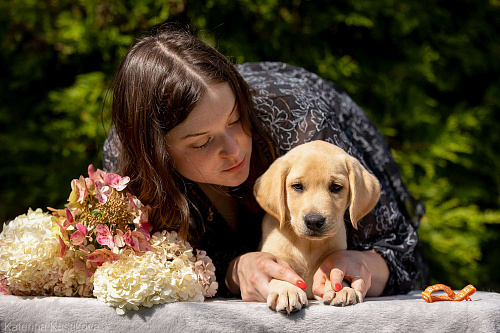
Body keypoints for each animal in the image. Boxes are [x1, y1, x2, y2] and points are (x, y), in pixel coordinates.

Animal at [256, 139, 380, 312]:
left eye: (336, 187)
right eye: (297, 186)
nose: (314, 221)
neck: (308, 245)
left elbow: (332, 273)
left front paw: (340, 288)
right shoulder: (276, 258)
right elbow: (279, 275)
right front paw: (287, 291)